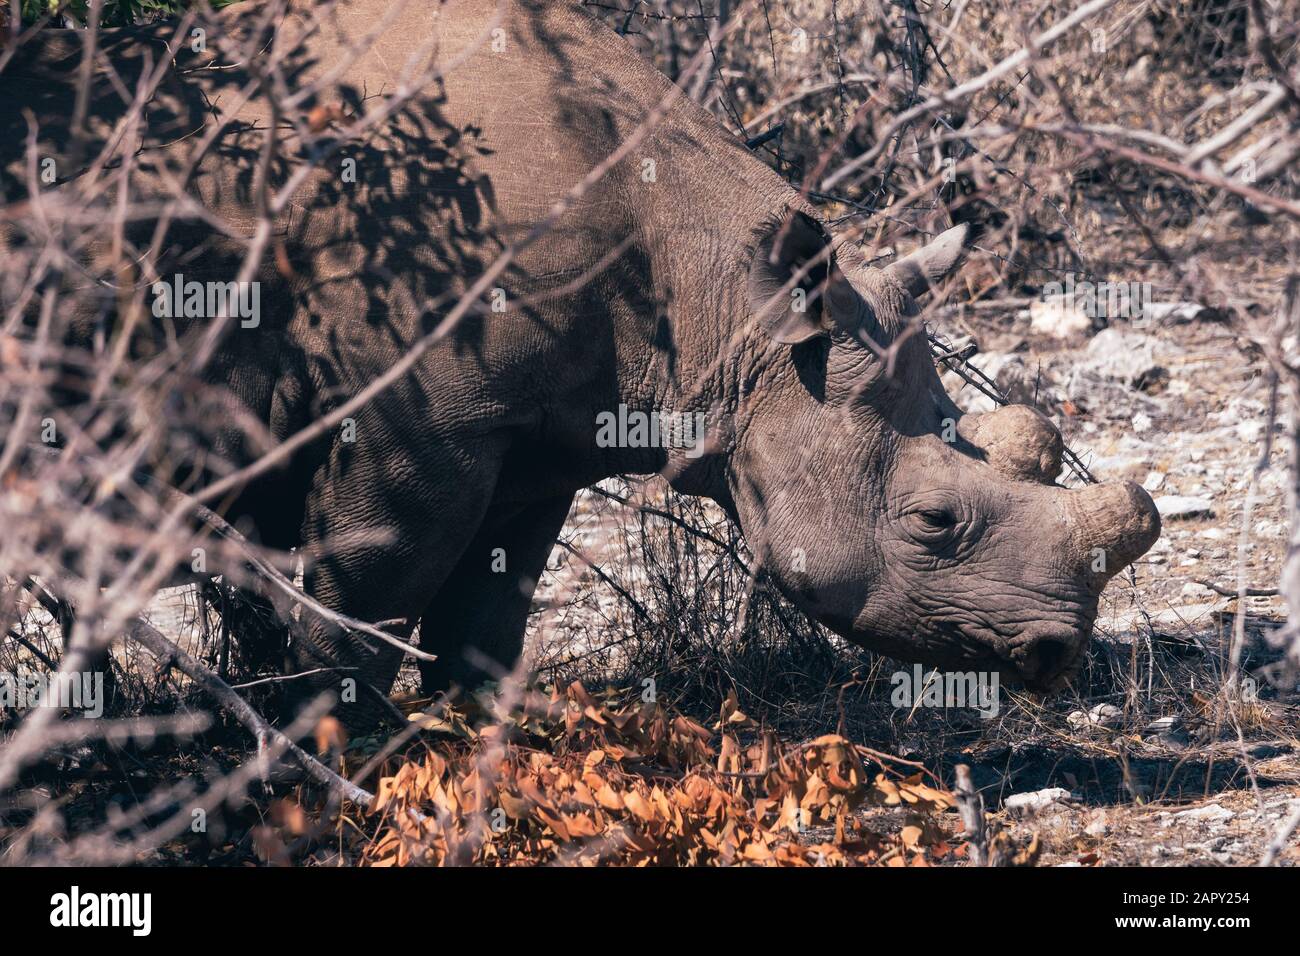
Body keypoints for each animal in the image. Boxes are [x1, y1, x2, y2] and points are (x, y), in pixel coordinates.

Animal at [1, 0, 1159, 726]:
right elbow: (363, 610)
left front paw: (465, 748)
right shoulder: (409, 428)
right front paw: (324, 754)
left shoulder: (541, 435)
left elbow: (485, 619)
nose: (1057, 654)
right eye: (933, 522)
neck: (733, 310)